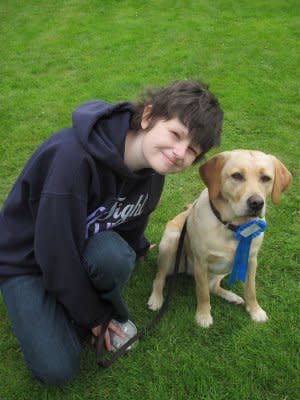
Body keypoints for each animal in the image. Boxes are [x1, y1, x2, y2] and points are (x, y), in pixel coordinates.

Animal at [148, 150, 292, 328]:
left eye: (266, 178)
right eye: (237, 176)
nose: (257, 203)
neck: (233, 227)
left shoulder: (251, 260)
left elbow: (251, 289)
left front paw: (255, 310)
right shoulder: (201, 262)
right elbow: (202, 293)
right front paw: (203, 315)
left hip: (226, 267)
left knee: (213, 286)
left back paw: (232, 297)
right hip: (171, 244)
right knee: (159, 277)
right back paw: (156, 299)